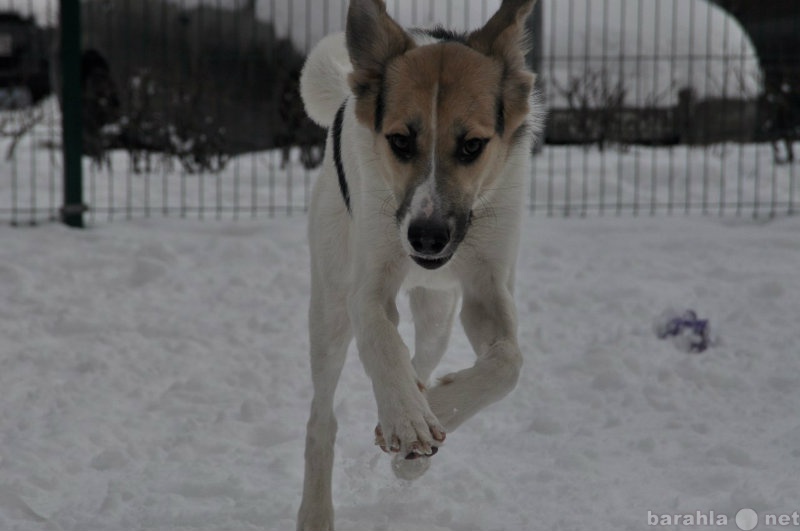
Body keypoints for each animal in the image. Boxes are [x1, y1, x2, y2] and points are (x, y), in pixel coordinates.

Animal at [300, 2, 544, 528]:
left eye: (472, 145)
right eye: (399, 141)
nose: (426, 237)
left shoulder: (487, 286)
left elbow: (508, 362)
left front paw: (433, 410)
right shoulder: (368, 287)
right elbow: (381, 340)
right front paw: (407, 419)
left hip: (437, 315)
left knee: (423, 356)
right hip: (329, 306)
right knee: (321, 417)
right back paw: (316, 511)